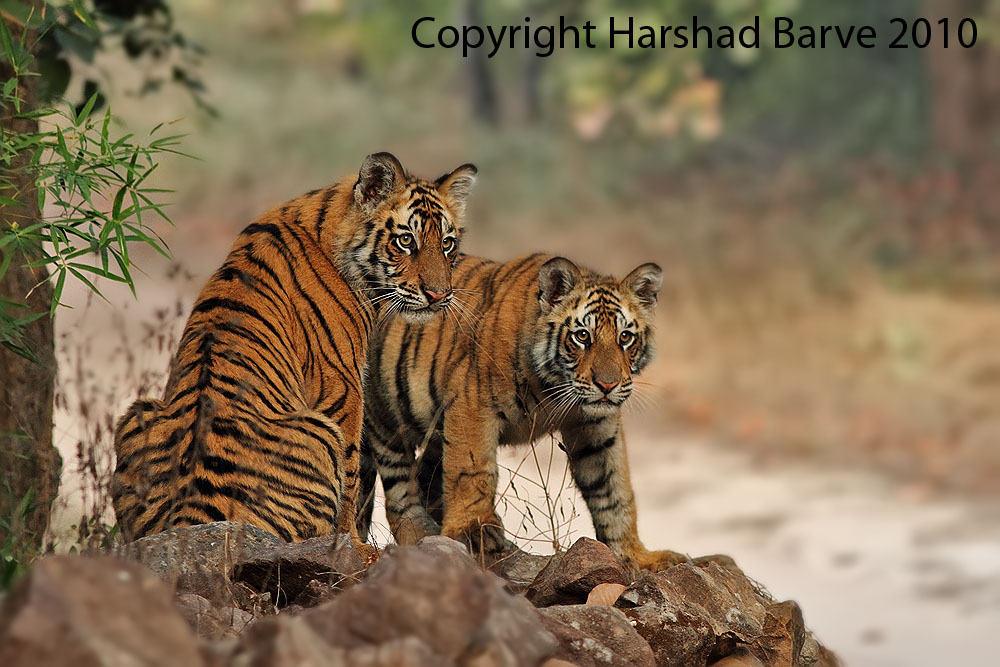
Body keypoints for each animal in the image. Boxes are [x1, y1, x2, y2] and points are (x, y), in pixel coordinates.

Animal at [112, 152, 477, 554]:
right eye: (406, 240)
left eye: (447, 243)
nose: (439, 295)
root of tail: (189, 517)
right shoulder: (342, 389)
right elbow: (352, 478)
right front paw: (355, 548)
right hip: (318, 429)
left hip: (136, 414)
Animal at [358, 252, 688, 572]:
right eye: (582, 336)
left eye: (625, 338)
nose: (608, 385)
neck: (553, 386)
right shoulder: (471, 406)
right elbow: (472, 470)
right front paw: (473, 529)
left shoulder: (597, 428)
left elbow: (614, 492)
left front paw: (637, 556)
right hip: (384, 421)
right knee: (396, 490)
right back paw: (417, 536)